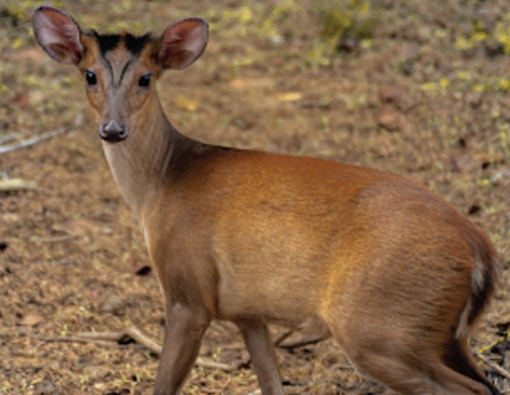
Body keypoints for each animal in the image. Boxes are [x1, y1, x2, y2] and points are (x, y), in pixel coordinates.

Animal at [33, 6, 500, 395]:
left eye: (146, 78)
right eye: (89, 75)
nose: (113, 129)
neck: (162, 184)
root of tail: (481, 253)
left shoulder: (189, 291)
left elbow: (164, 384)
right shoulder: (248, 310)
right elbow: (271, 382)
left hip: (379, 325)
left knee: (469, 390)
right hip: (443, 335)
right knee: (486, 382)